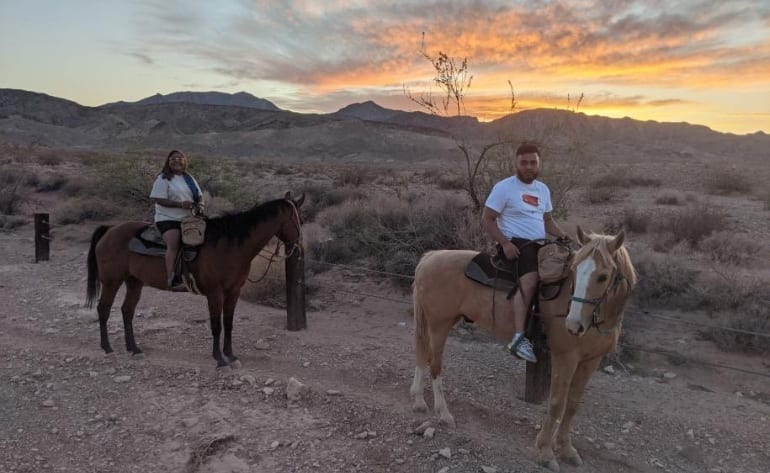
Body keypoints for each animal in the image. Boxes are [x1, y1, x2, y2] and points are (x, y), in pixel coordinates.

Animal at [87, 193, 304, 368]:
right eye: (298, 221)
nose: (300, 249)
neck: (229, 246)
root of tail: (110, 229)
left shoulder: (234, 291)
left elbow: (229, 323)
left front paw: (231, 356)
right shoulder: (215, 293)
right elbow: (216, 325)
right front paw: (219, 360)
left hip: (134, 282)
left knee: (127, 311)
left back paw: (134, 349)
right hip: (112, 281)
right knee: (104, 309)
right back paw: (107, 348)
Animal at [412, 227, 632, 470]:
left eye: (603, 276)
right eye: (574, 270)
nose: (573, 325)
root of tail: (431, 256)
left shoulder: (591, 360)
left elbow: (573, 404)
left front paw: (566, 449)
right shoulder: (565, 357)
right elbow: (557, 403)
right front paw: (546, 451)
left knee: (422, 354)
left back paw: (419, 400)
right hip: (439, 324)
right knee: (435, 364)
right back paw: (443, 413)